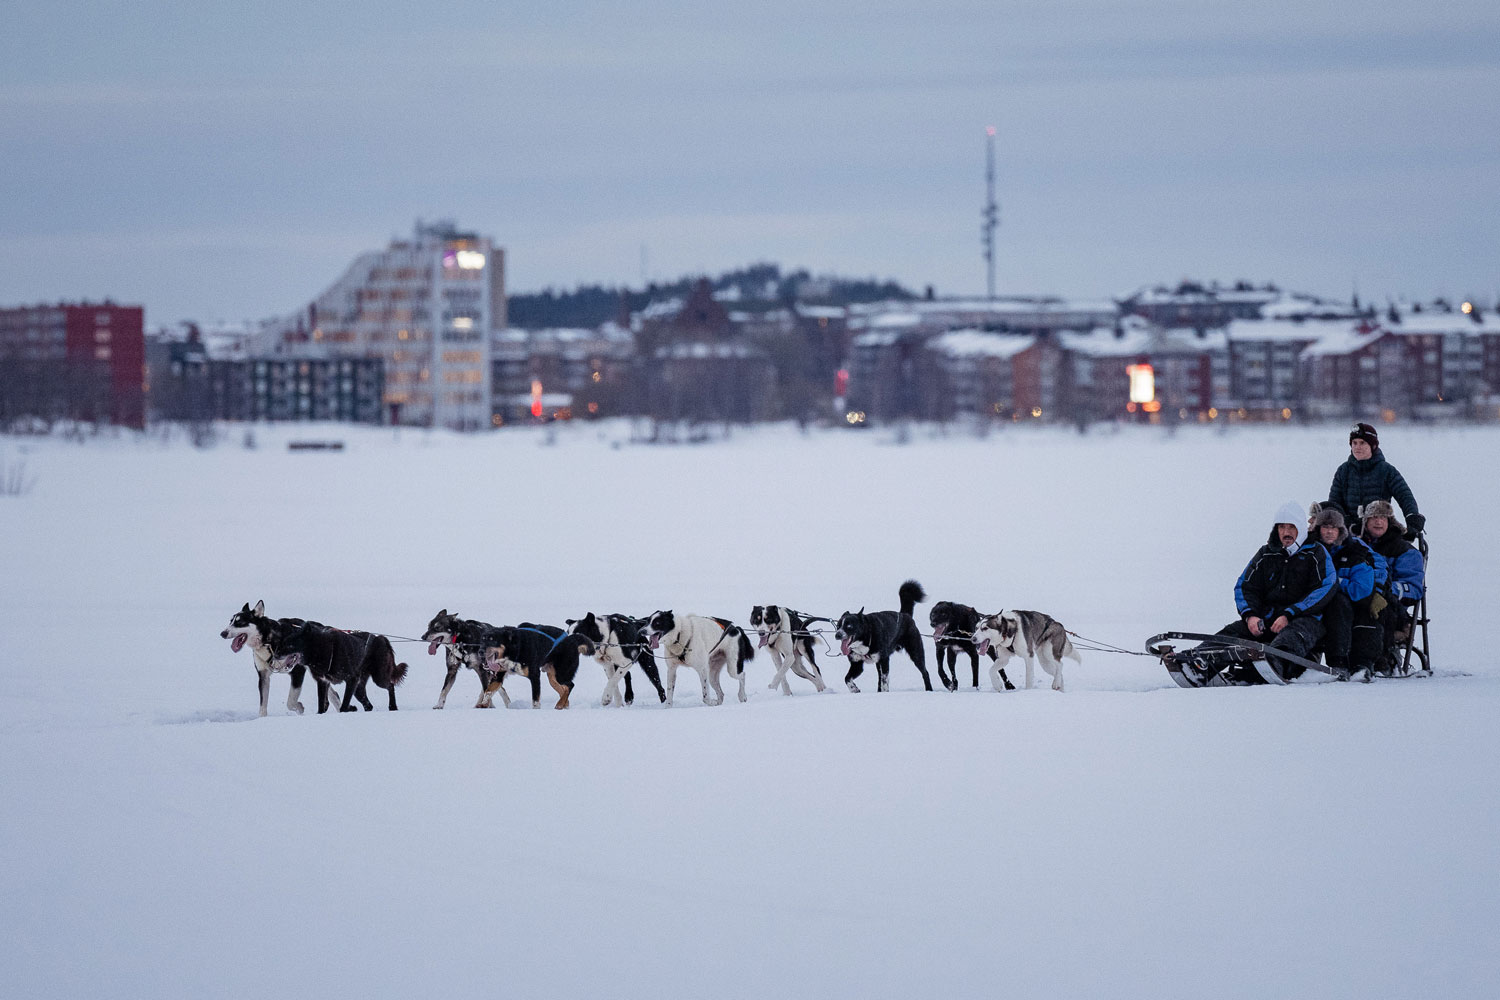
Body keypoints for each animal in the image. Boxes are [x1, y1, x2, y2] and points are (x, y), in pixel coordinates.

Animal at [271, 617, 408, 710]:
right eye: (282, 642)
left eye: (289, 644)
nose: (275, 654)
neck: (321, 648)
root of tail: (381, 638)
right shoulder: (323, 682)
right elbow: (321, 705)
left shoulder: (351, 679)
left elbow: (343, 706)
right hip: (358, 688)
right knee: (368, 704)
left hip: (379, 677)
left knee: (390, 685)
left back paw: (392, 706)